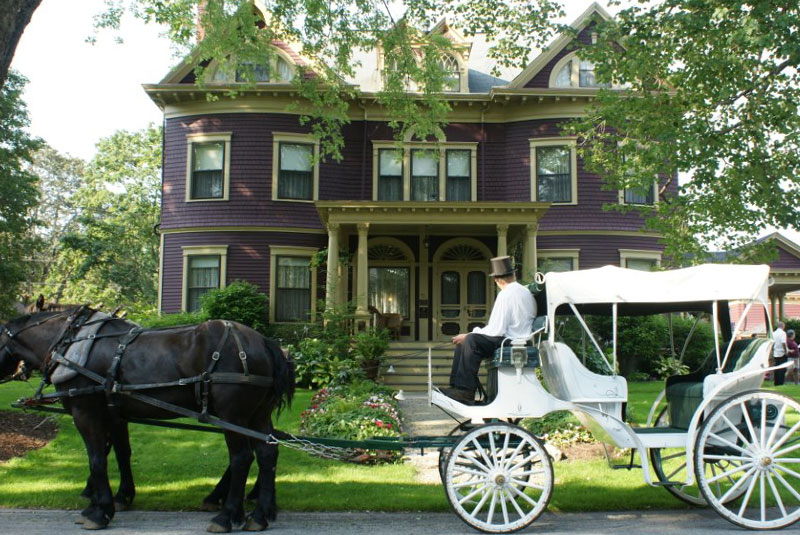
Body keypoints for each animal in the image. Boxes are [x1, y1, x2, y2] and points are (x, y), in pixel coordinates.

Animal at [0, 310, 294, 532]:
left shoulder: (86, 411)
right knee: (267, 452)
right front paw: (118, 497)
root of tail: (265, 342)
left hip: (232, 414)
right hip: (256, 414)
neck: (73, 344)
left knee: (242, 457)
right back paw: (259, 515)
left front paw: (99, 510)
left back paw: (226, 515)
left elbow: (97, 458)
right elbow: (120, 453)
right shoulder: (113, 413)